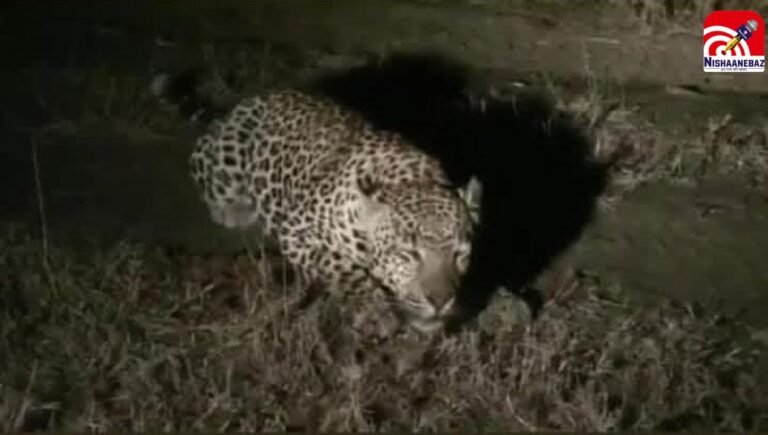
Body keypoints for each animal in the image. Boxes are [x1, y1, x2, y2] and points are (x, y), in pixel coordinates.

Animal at [186, 88, 482, 333]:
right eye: (408, 255)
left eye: (460, 255)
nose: (440, 301)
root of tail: (259, 97)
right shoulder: (295, 233)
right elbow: (339, 265)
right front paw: (375, 311)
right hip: (225, 165)